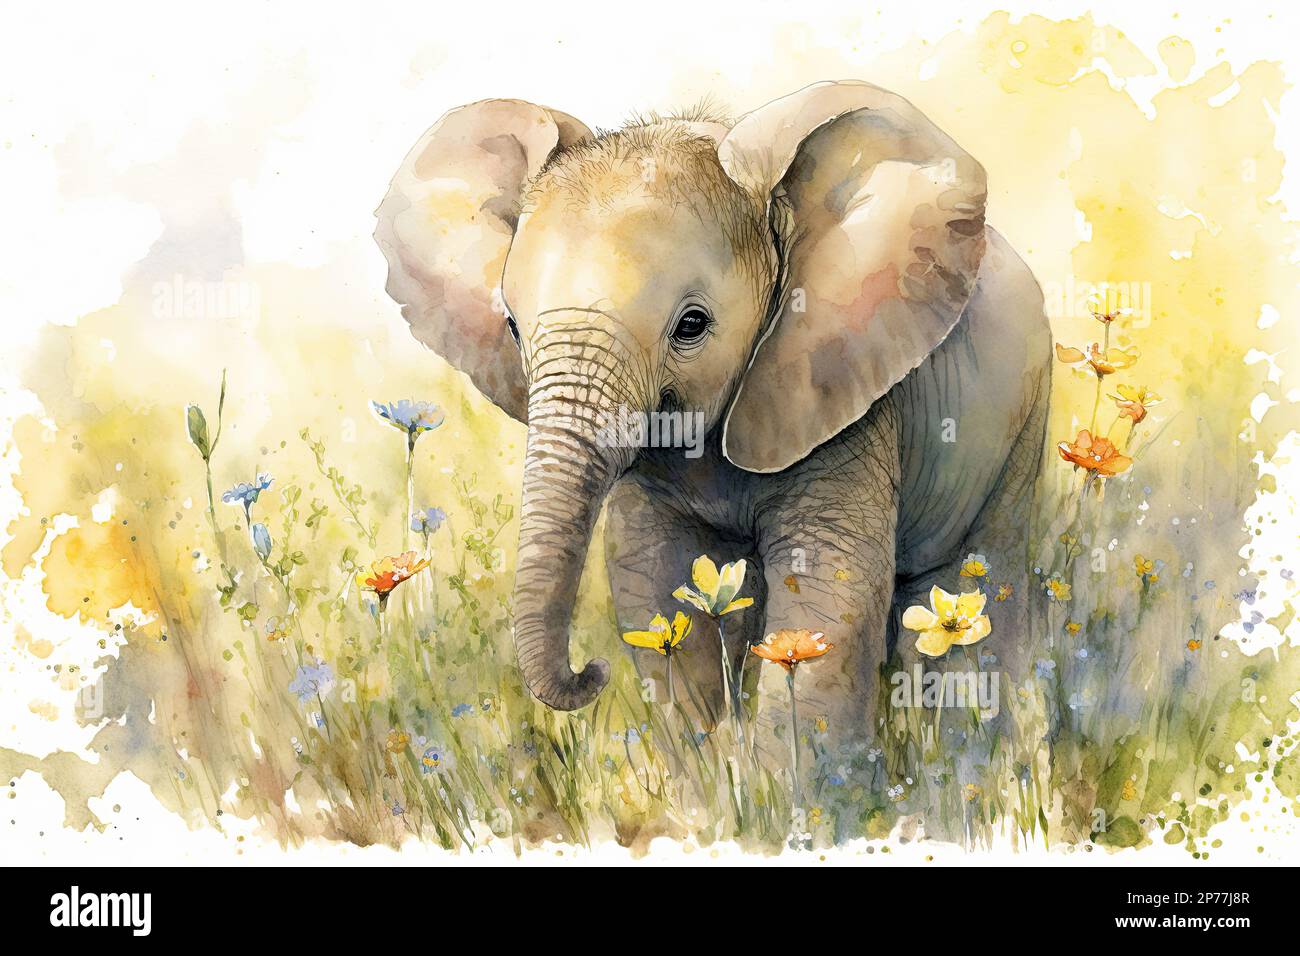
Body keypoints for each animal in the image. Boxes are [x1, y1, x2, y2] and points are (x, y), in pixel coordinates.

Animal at [374, 81, 1052, 768]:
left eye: (692, 325)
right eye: (512, 327)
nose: (590, 672)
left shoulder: (843, 391)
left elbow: (827, 594)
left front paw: (800, 789)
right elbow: (656, 587)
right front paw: (714, 777)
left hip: (1024, 416)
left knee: (976, 587)